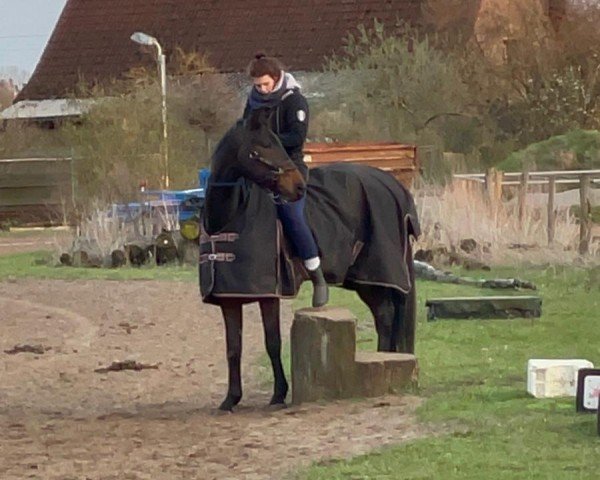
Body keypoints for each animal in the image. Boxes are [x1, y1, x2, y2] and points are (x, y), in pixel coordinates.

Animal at [202, 109, 418, 412]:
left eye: (276, 143)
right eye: (262, 147)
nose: (298, 187)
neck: (230, 216)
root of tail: (395, 187)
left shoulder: (269, 295)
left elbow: (273, 342)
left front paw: (279, 394)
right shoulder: (229, 299)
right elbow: (233, 348)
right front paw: (231, 399)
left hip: (378, 274)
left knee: (385, 317)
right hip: (367, 281)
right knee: (385, 316)